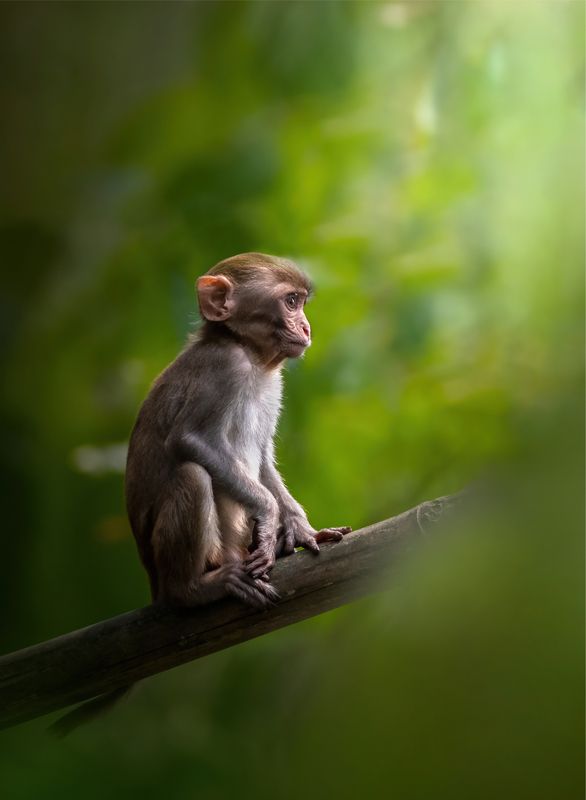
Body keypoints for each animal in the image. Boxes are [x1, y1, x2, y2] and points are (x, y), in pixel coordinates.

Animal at [49, 253, 350, 736]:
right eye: (290, 302)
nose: (306, 327)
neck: (251, 357)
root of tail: (152, 579)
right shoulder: (222, 371)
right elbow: (192, 442)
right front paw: (270, 518)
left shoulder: (274, 384)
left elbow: (263, 461)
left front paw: (301, 530)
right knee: (192, 475)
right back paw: (195, 589)